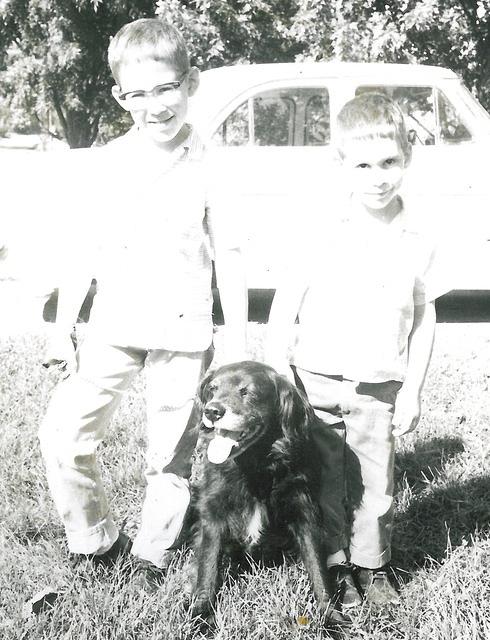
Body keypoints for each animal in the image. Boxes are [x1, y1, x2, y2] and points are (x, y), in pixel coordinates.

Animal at [188, 360, 344, 632]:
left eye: (246, 392)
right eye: (212, 389)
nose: (212, 411)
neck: (256, 466)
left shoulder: (304, 512)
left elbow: (318, 569)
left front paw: (331, 617)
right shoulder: (213, 514)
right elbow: (208, 566)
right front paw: (201, 616)